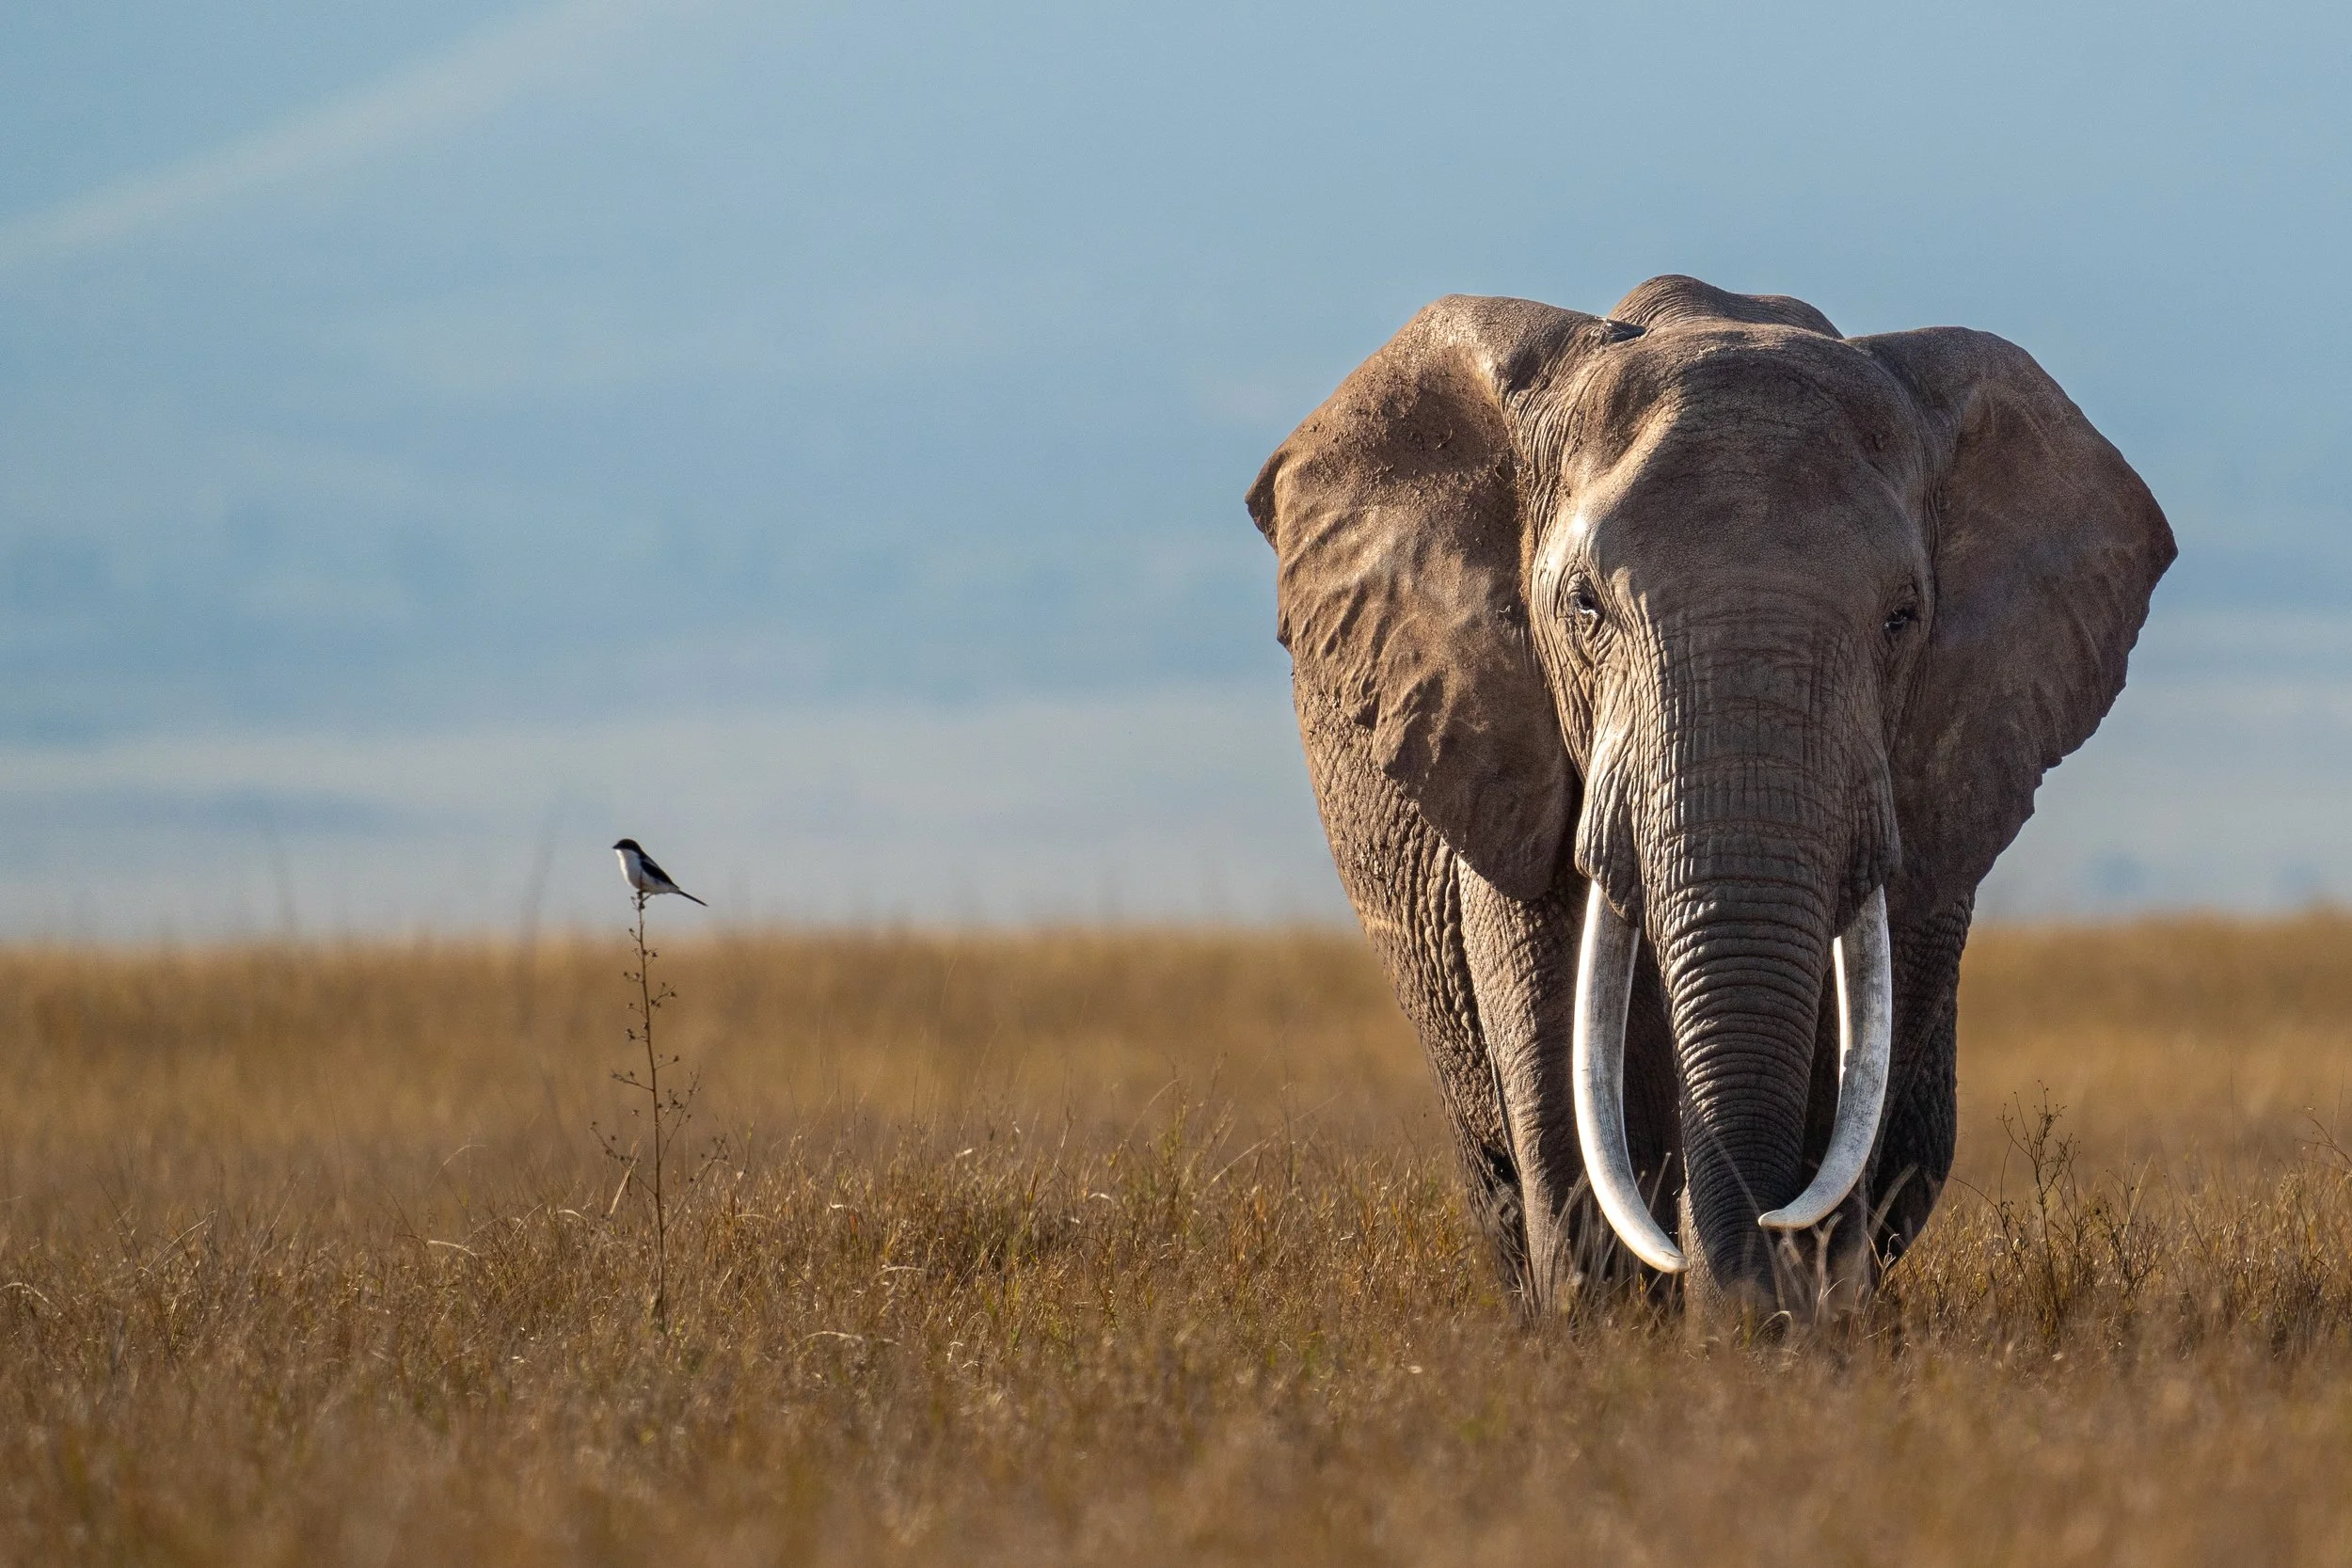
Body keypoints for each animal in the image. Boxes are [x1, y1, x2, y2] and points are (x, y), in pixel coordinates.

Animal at [1247, 275, 2173, 1318]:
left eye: (1903, 617)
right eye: (1584, 607)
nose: (1734, 1292)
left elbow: (1846, 1061)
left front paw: (1798, 1318)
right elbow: (1559, 1053)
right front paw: (1611, 1329)